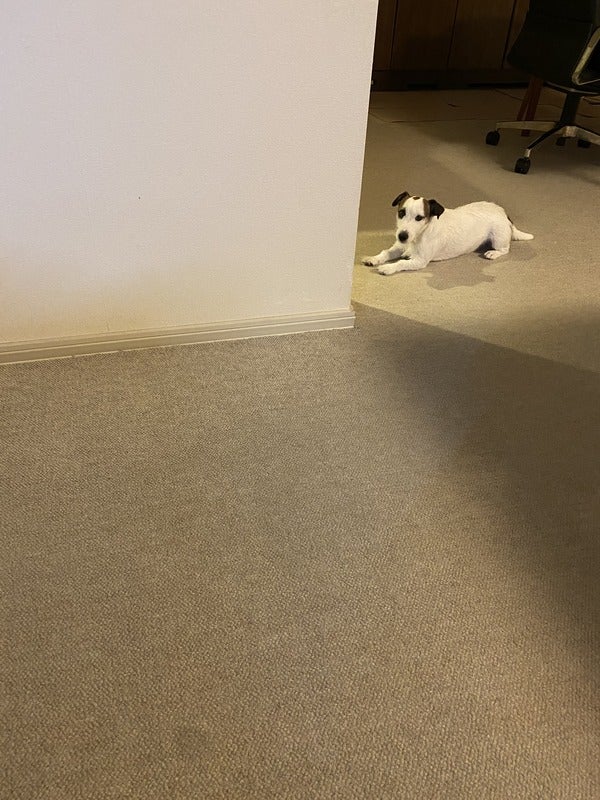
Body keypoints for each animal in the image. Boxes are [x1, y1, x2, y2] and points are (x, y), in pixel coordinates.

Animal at [362, 192, 533, 275]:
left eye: (419, 218)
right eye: (401, 213)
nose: (402, 236)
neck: (419, 236)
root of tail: (503, 212)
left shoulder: (420, 261)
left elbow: (401, 263)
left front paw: (388, 268)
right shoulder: (399, 247)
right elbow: (385, 253)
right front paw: (374, 259)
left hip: (498, 238)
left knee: (505, 249)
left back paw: (493, 253)